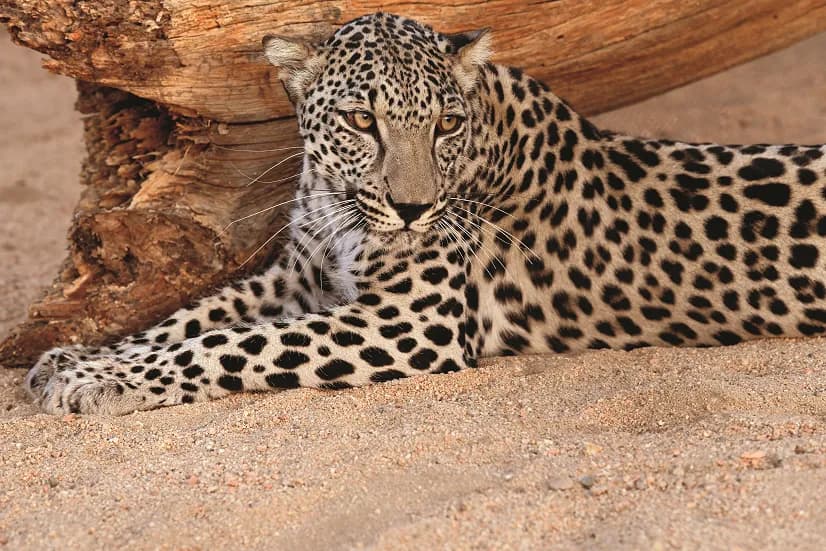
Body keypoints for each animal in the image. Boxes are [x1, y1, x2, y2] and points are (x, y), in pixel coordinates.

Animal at [24, 12, 826, 415]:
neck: (338, 207)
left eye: (444, 123)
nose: (413, 210)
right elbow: (194, 315)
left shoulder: (412, 323)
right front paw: (78, 358)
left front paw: (100, 382)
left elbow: (231, 344)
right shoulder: (294, 277)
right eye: (360, 120)